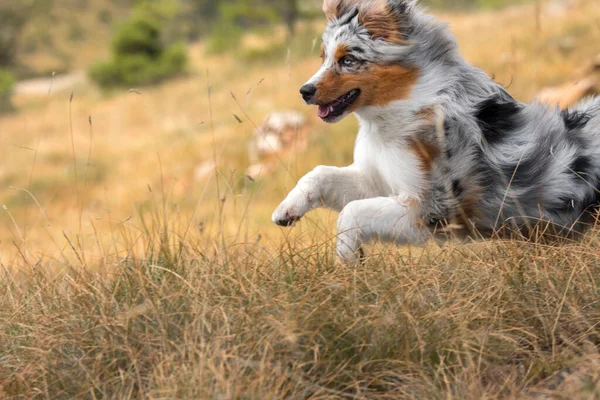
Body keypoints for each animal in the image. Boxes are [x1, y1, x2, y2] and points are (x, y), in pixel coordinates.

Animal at [272, 0, 600, 264]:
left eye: (348, 60)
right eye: (324, 58)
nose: (305, 91)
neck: (389, 119)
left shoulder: (430, 209)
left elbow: (352, 211)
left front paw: (349, 257)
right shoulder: (378, 179)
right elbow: (320, 174)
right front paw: (288, 209)